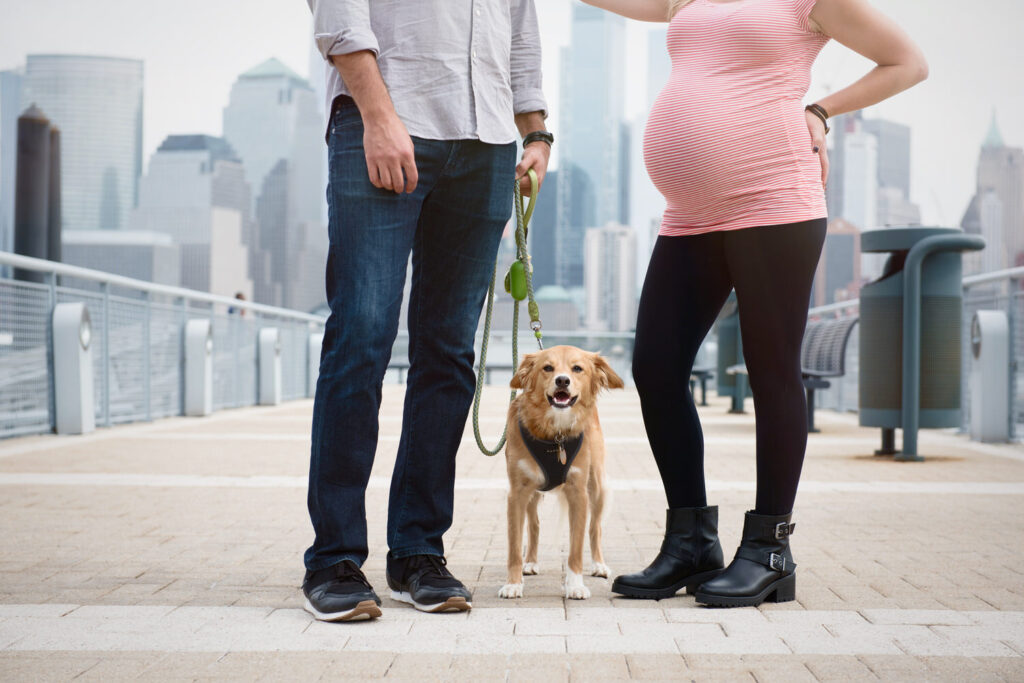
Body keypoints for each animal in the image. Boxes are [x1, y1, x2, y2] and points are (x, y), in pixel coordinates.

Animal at [495, 348, 622, 598]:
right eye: (547, 368)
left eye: (577, 368)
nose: (562, 380)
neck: (555, 433)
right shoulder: (517, 493)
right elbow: (514, 545)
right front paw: (513, 584)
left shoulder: (578, 493)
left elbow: (576, 547)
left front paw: (575, 585)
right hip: (533, 493)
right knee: (534, 524)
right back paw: (530, 562)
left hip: (596, 486)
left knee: (595, 528)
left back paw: (599, 565)